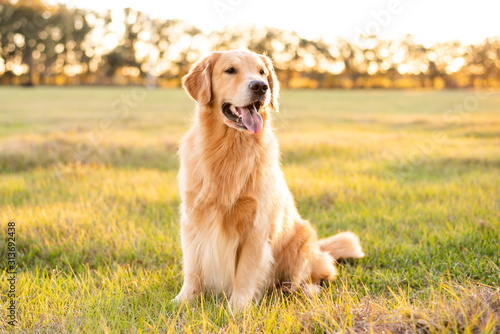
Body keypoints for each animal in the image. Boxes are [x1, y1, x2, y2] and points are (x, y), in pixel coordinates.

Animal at [175, 49, 364, 310]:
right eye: (230, 70)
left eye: (262, 72)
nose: (260, 86)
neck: (229, 148)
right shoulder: (193, 219)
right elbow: (193, 267)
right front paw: (184, 301)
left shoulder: (256, 227)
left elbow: (245, 272)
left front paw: (238, 308)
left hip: (302, 242)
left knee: (315, 276)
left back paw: (304, 290)